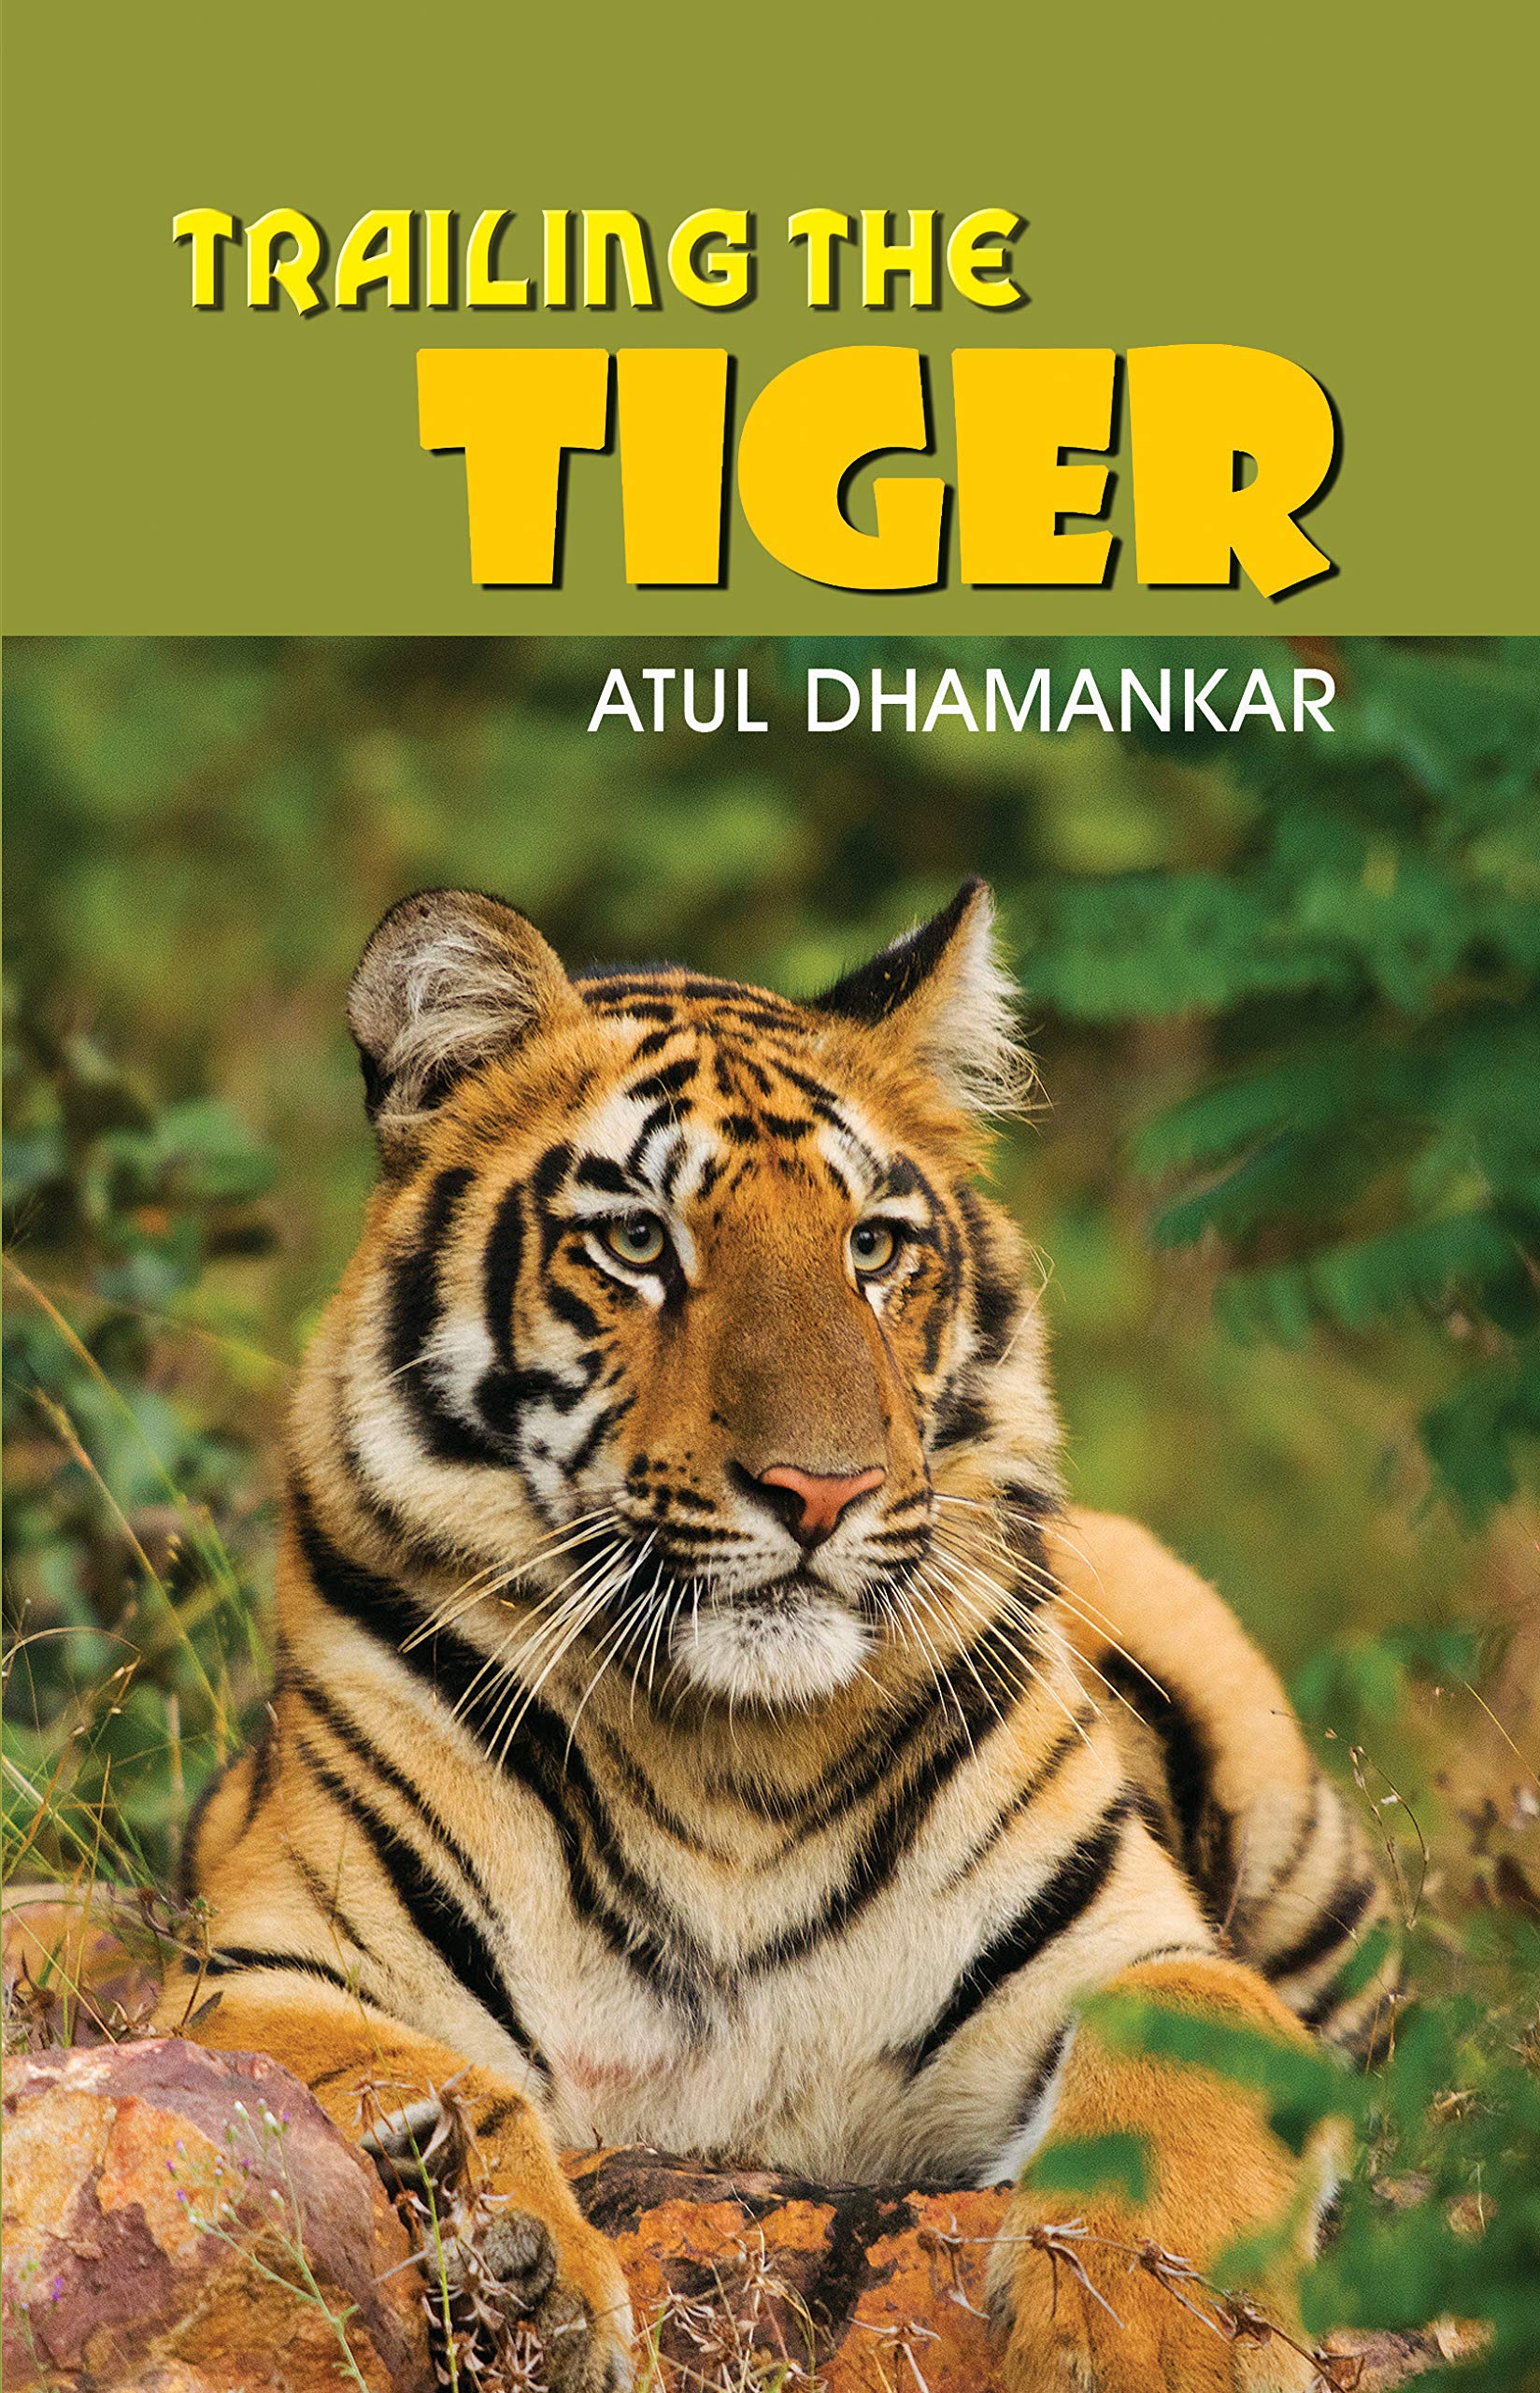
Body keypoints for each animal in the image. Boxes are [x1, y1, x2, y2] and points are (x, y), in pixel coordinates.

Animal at [160, 881, 1393, 2392]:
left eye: (871, 1246)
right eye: (637, 1242)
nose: (822, 1488)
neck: (728, 1762)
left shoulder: (1144, 1956)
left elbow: (1182, 2091)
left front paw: (1153, 2343)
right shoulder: (260, 1974)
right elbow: (416, 2072)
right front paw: (512, 2264)